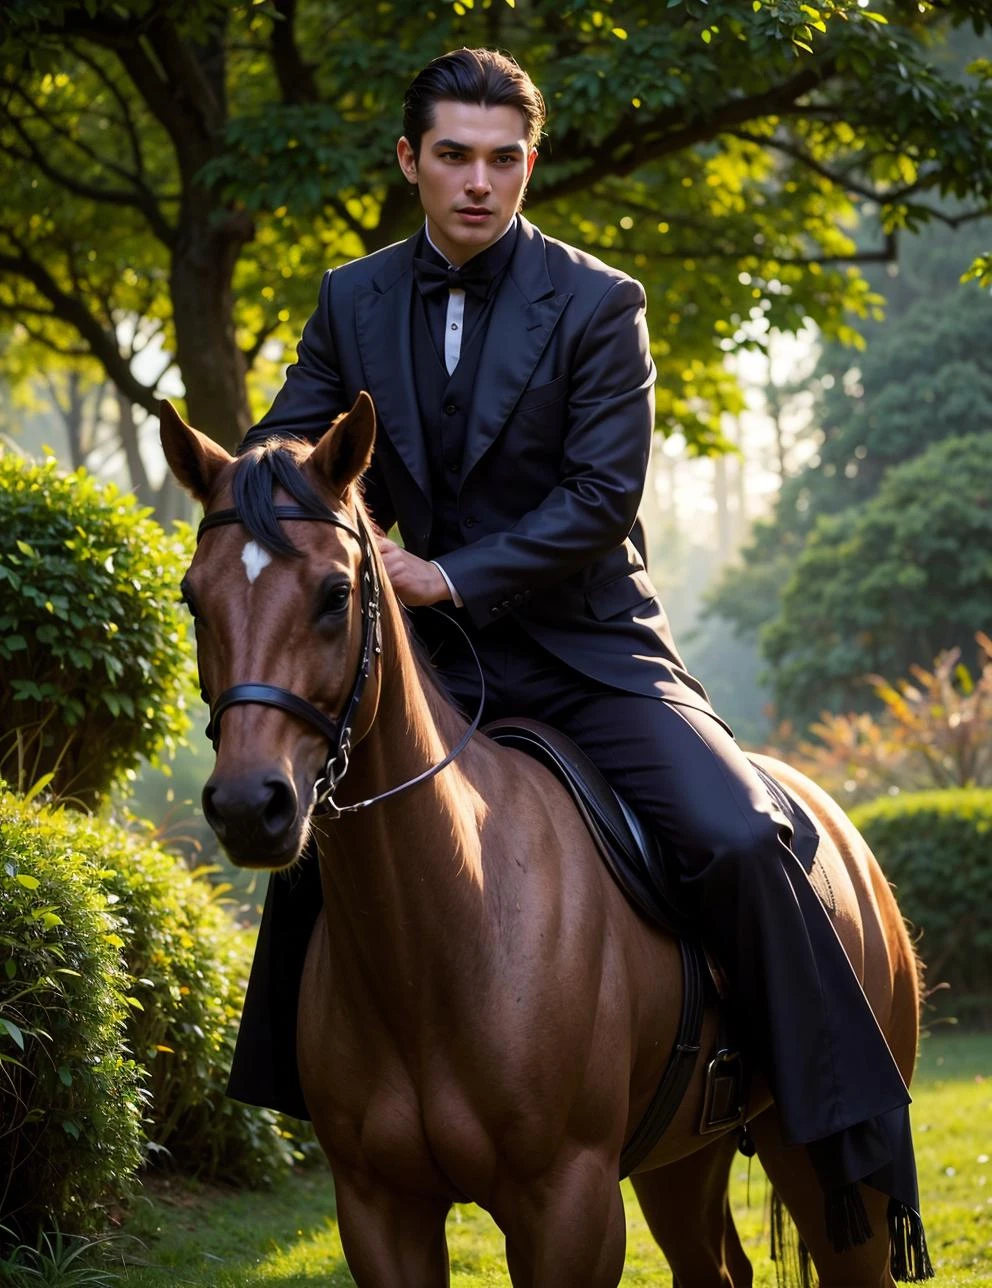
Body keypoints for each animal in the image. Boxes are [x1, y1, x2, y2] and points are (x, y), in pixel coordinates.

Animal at [160, 396, 917, 1282]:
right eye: (192, 597)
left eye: (335, 592)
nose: (251, 806)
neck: (445, 925)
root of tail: (845, 837)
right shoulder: (380, 1211)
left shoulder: (568, 1208)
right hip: (682, 1163)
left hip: (831, 1170)